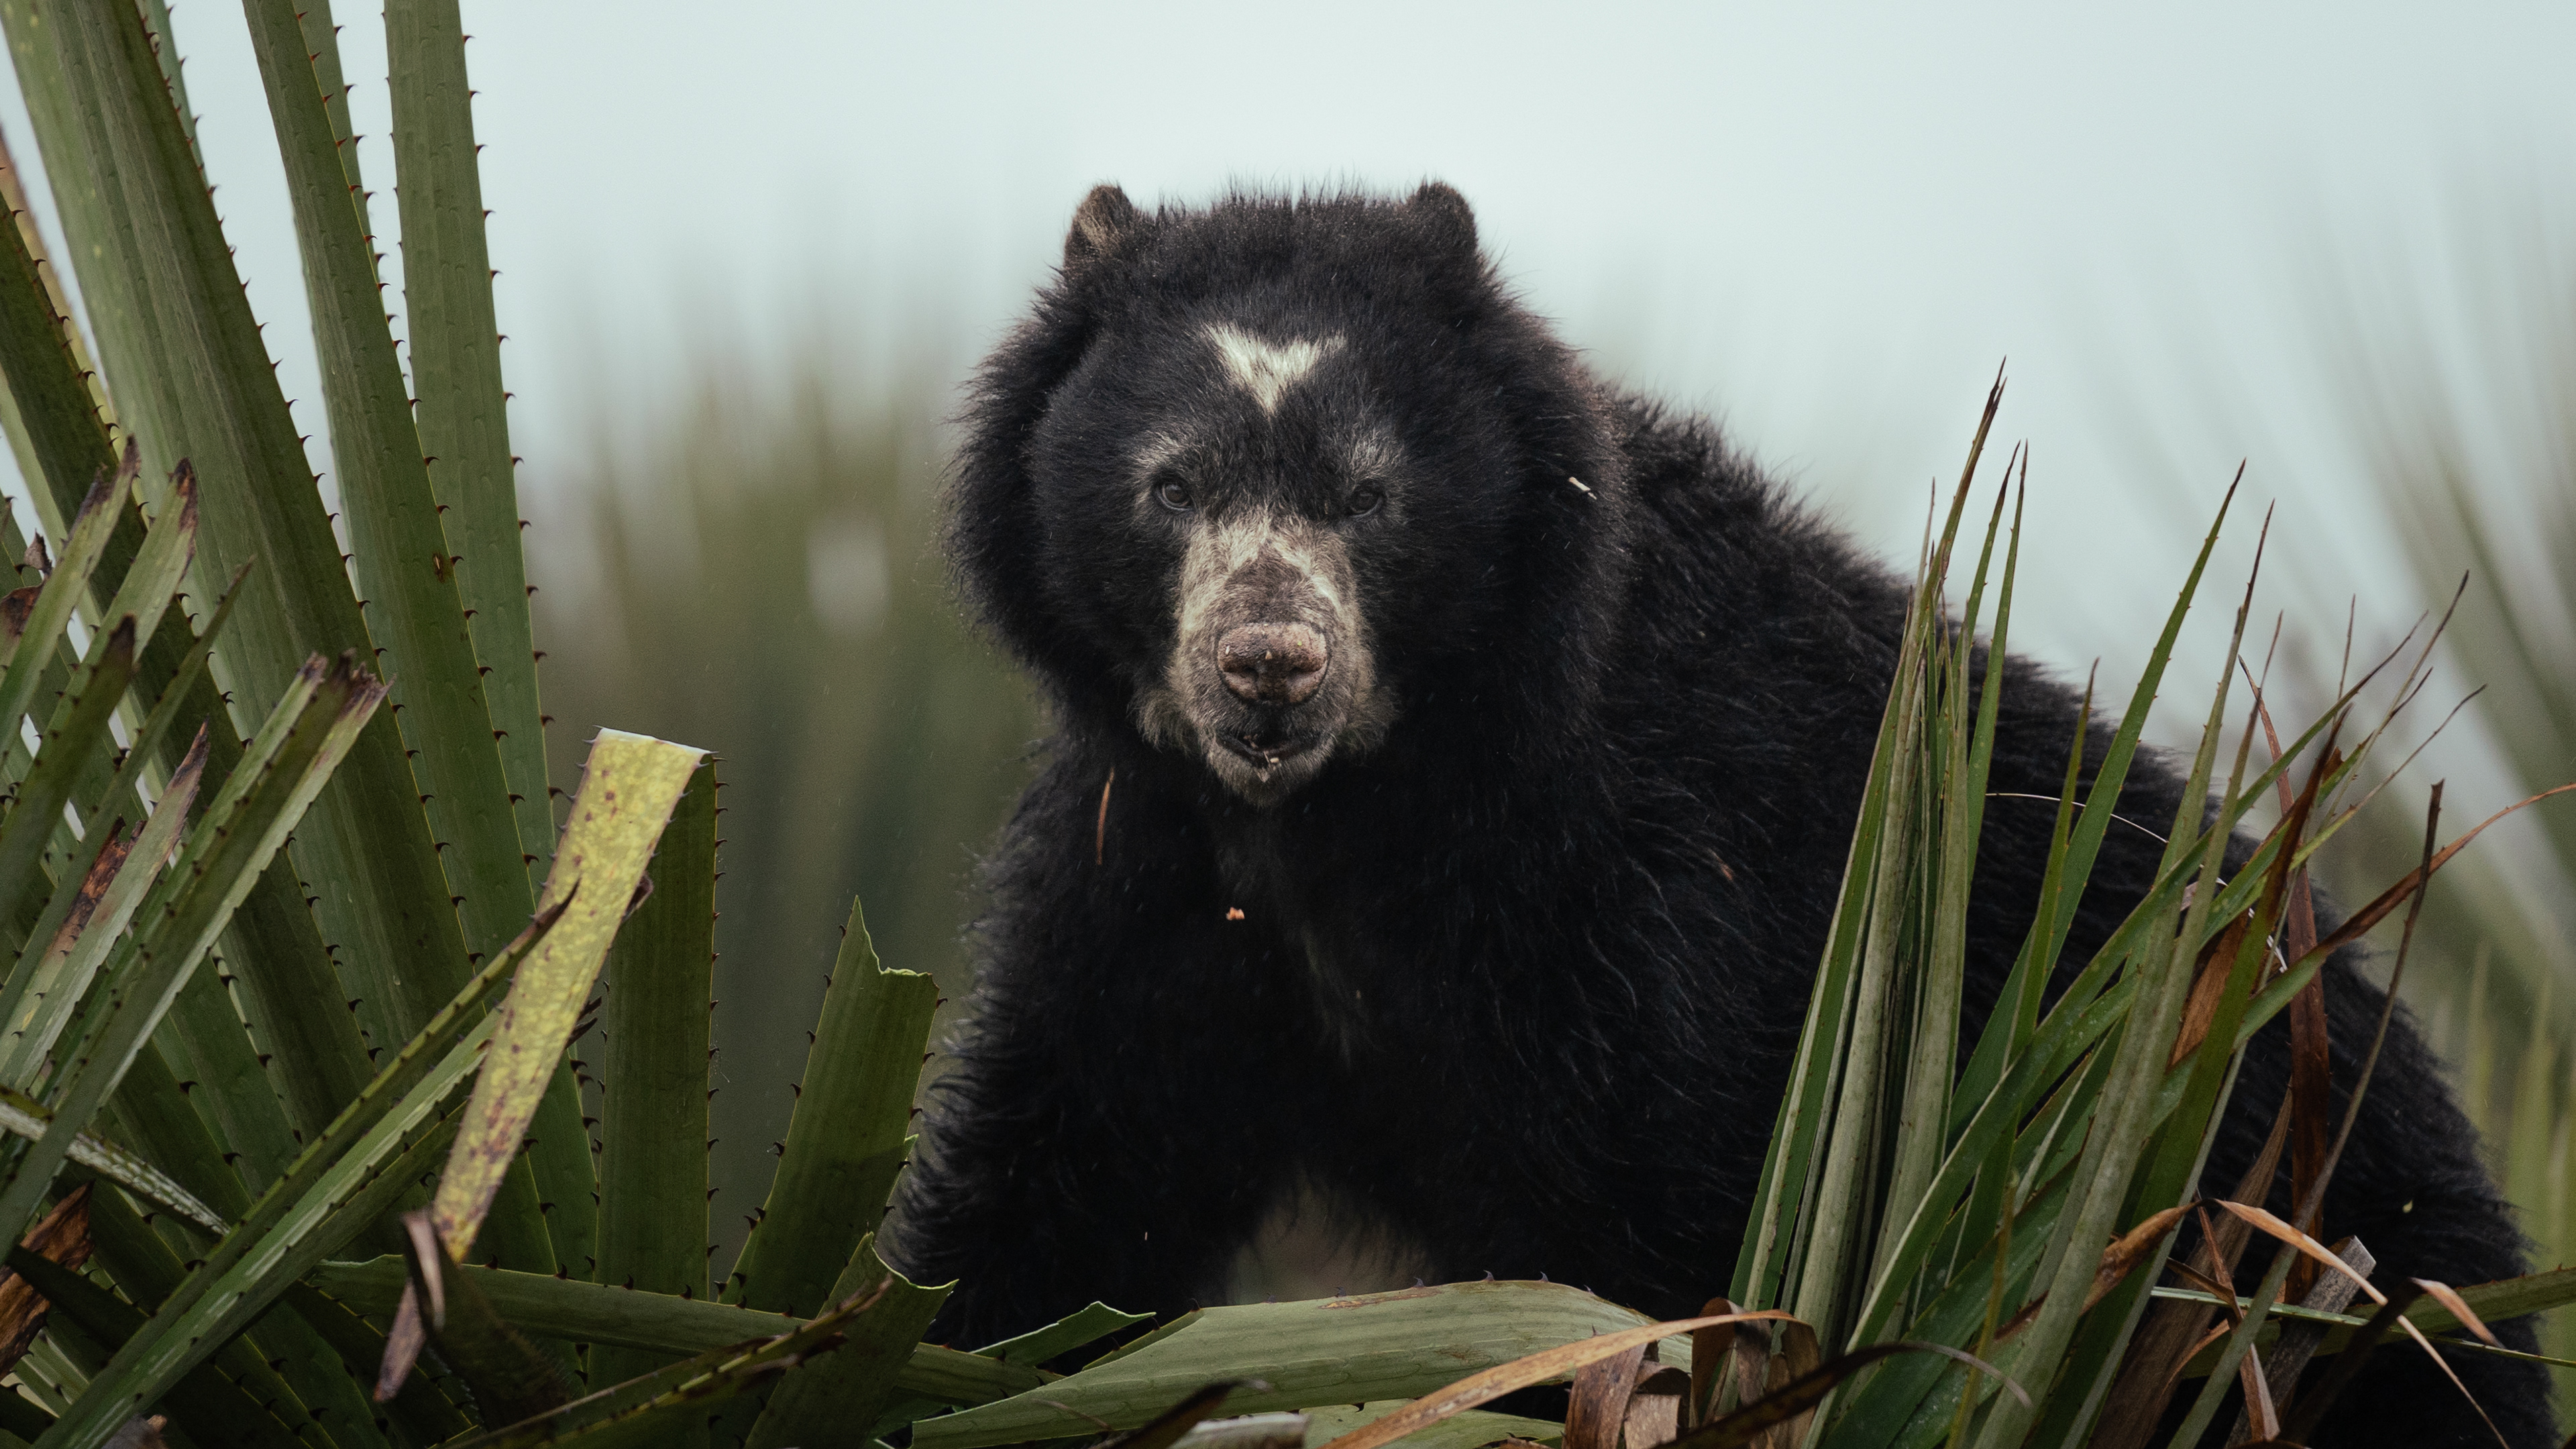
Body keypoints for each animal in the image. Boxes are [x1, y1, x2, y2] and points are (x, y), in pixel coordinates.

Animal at [892, 183, 2551, 1447]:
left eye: (1367, 497)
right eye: (1171, 489)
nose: (1268, 667)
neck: (1355, 810)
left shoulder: (1655, 902)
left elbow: (1653, 1256)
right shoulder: (1150, 867)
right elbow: (1064, 1190)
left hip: (2296, 1251)